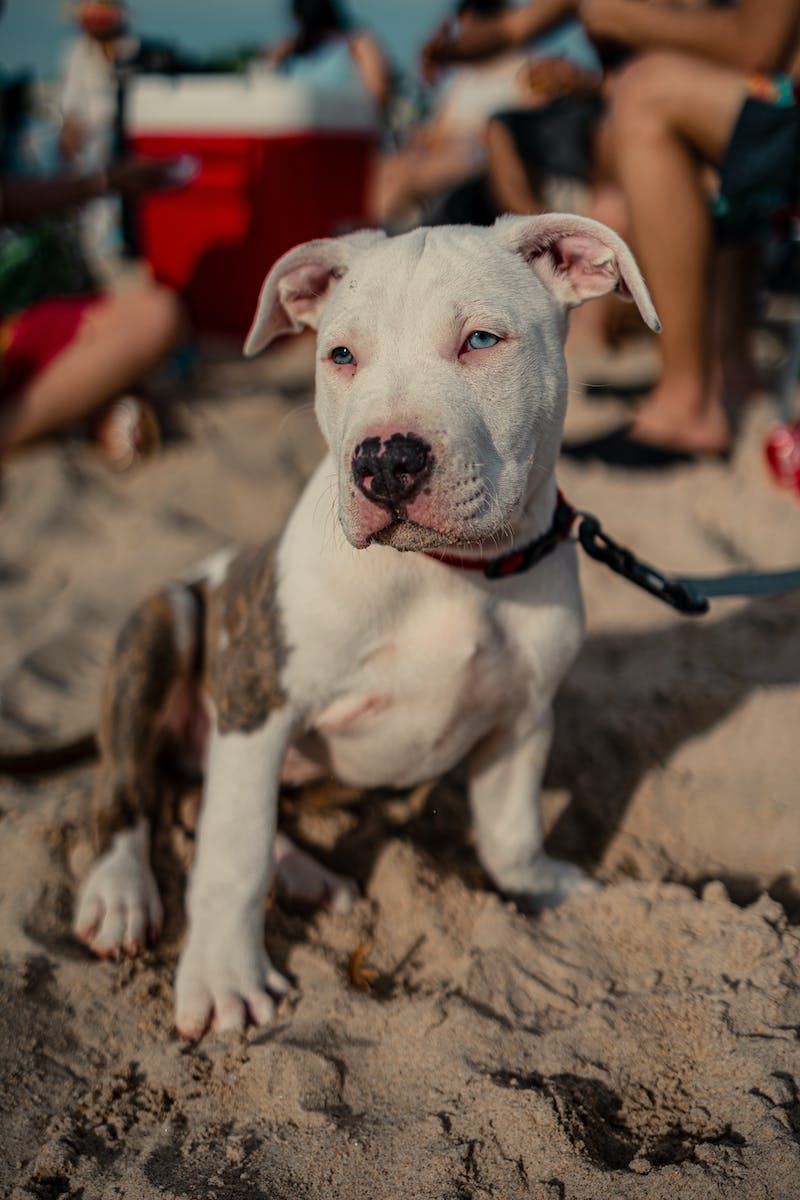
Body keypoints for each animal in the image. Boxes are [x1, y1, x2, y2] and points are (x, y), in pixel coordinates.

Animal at [74, 216, 662, 1041]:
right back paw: (122, 893)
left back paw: (305, 873)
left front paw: (544, 886)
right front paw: (224, 978)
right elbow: (232, 851)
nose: (385, 461)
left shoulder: (524, 714)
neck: (448, 573)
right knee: (130, 789)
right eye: (341, 355)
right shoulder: (258, 699)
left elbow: (510, 831)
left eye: (481, 340)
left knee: (199, 799)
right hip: (168, 620)